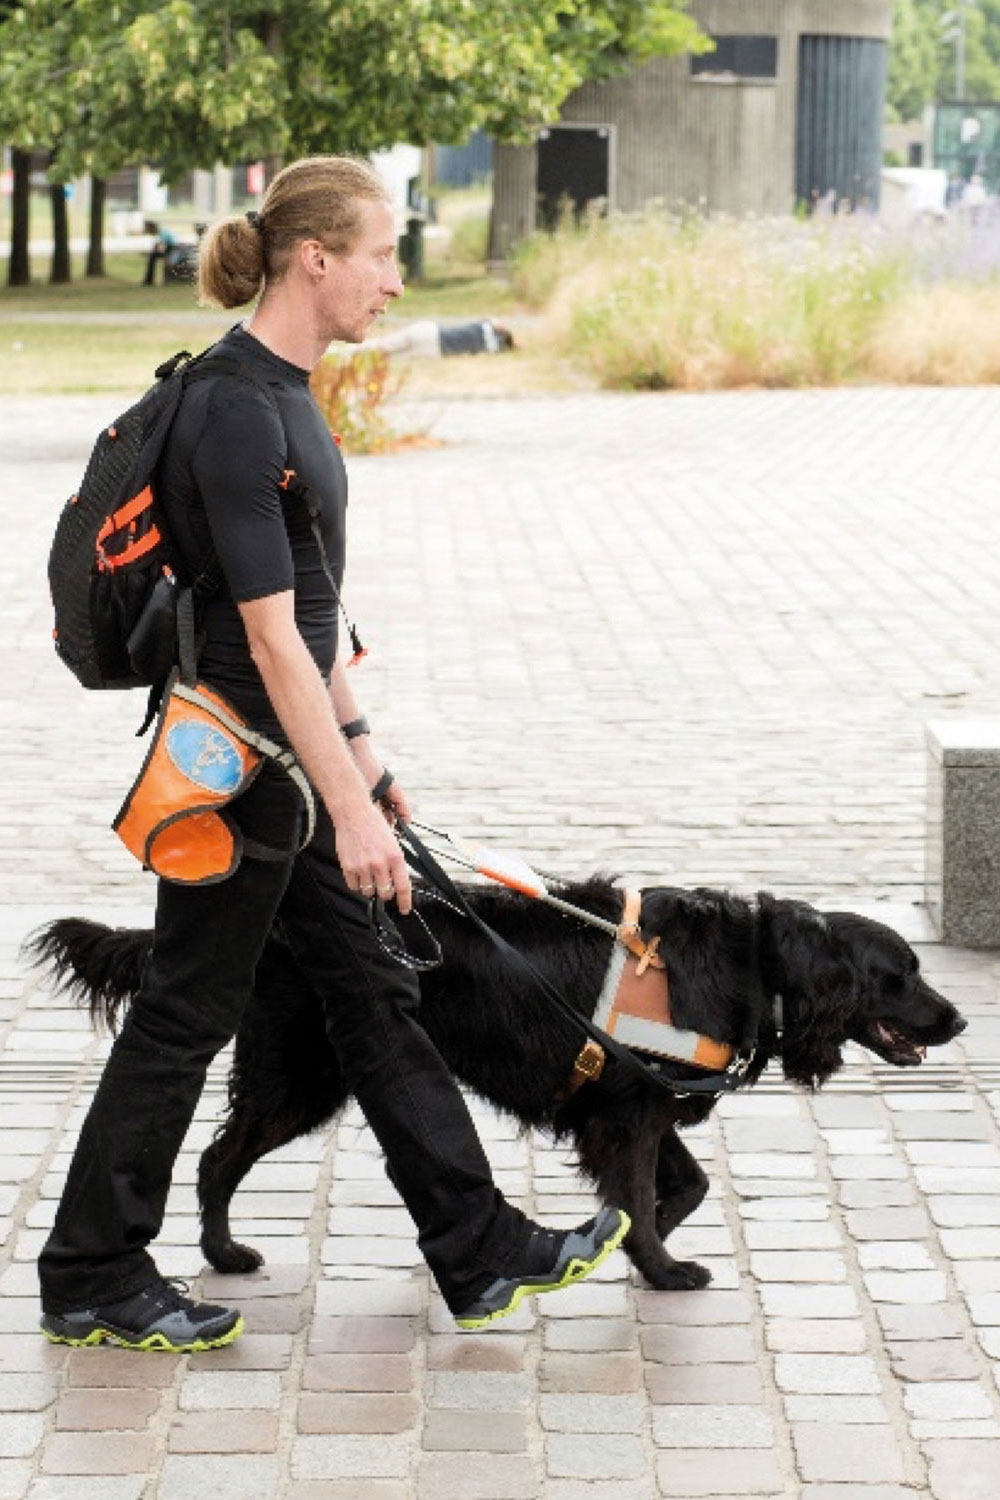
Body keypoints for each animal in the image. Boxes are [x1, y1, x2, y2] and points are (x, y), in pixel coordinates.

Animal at [31, 882, 965, 1296]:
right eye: (903, 973)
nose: (958, 1018)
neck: (754, 962)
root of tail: (279, 927)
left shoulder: (635, 1104)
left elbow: (684, 1185)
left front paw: (638, 1242)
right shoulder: (629, 1112)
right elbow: (641, 1192)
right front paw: (659, 1264)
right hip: (301, 1074)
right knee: (217, 1158)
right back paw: (224, 1253)